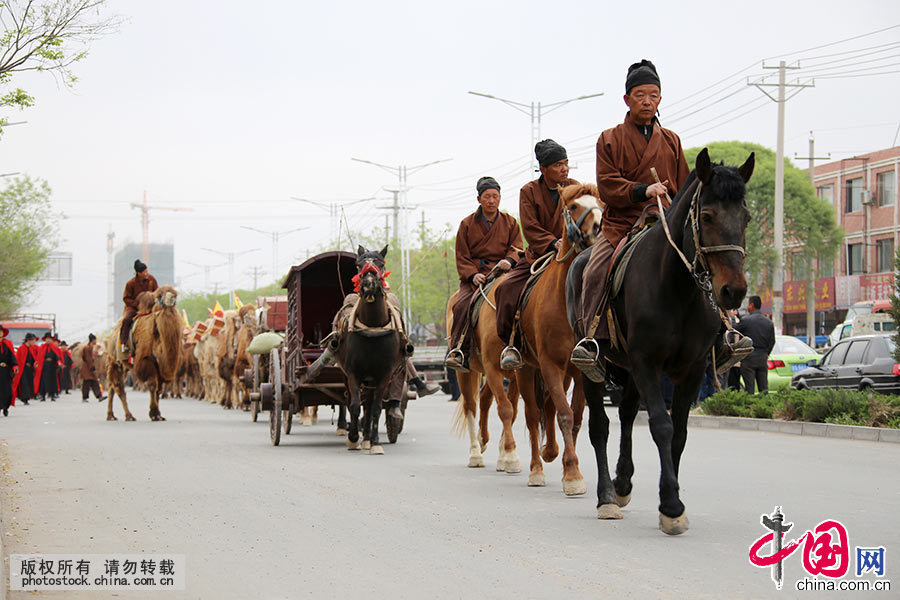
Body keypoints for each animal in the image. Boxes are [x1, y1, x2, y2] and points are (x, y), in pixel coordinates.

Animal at [104, 288, 182, 422]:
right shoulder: (147, 359)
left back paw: (113, 415)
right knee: (118, 387)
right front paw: (154, 414)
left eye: (175, 294)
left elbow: (158, 389)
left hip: (124, 366)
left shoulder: (160, 364)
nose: (172, 298)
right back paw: (127, 416)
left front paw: (159, 415)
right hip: (115, 361)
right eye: (159, 295)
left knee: (112, 387)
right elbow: (152, 385)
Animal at [512, 185, 604, 494]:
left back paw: (551, 451)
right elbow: (563, 415)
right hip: (526, 369)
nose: (598, 226)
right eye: (574, 206)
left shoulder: (579, 369)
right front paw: (573, 474)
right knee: (531, 416)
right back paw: (536, 469)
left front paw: (568, 469)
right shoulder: (549, 364)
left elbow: (574, 417)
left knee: (549, 407)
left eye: (601, 203)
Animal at [572, 149, 756, 536]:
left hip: (627, 368)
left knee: (627, 414)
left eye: (746, 216)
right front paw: (671, 505)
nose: (734, 291)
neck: (678, 287)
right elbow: (661, 425)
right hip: (592, 366)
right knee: (600, 426)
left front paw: (668, 500)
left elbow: (680, 433)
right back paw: (607, 497)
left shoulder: (692, 369)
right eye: (707, 215)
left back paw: (623, 483)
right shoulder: (647, 363)